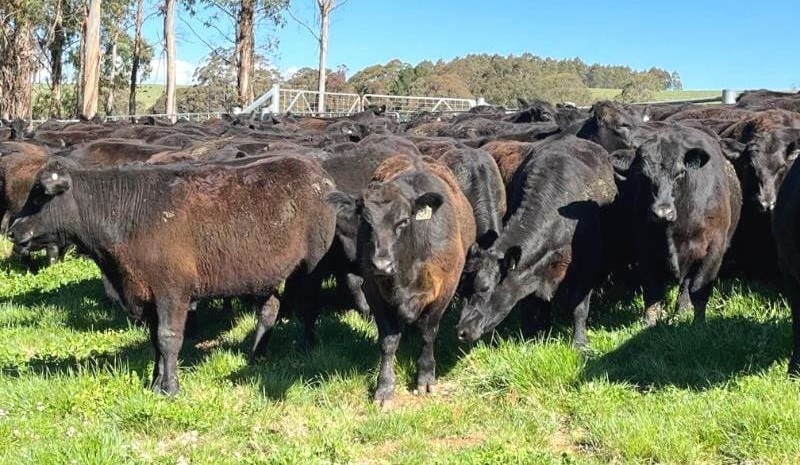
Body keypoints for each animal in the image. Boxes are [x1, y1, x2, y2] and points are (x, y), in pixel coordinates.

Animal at [8, 155, 337, 395]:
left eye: (39, 197)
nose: (12, 231)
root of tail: (315, 171)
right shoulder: (149, 296)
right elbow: (155, 340)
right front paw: (155, 383)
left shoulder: (172, 293)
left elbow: (169, 338)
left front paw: (170, 387)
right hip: (260, 276)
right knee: (270, 309)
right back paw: (257, 354)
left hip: (310, 267)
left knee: (309, 307)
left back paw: (307, 347)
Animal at [327, 154, 475, 405]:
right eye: (365, 221)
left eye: (404, 221)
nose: (381, 265)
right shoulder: (373, 290)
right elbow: (388, 341)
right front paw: (384, 387)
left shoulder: (445, 288)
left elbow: (428, 332)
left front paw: (425, 376)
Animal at [455, 135, 617, 347]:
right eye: (462, 288)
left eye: (484, 287)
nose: (461, 331)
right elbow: (536, 307)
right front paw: (537, 336)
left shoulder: (587, 267)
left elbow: (579, 308)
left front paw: (579, 343)